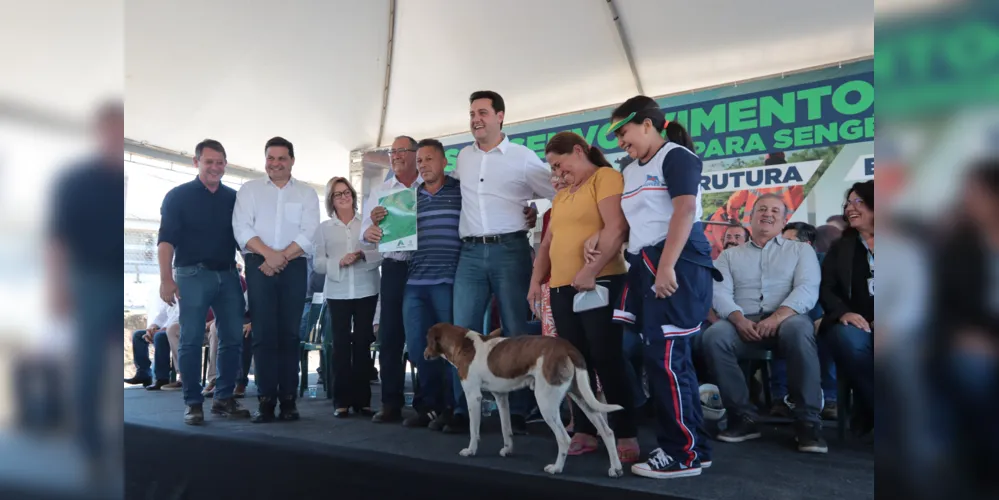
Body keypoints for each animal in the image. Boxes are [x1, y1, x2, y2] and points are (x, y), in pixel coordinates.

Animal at [424, 322, 624, 478]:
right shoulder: (501, 396)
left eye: (427, 340)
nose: (424, 355)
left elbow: (474, 430)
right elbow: (506, 428)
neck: (465, 344)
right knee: (607, 432)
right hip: (582, 397)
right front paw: (507, 450)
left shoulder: (473, 396)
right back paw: (616, 469)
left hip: (546, 402)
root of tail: (568, 348)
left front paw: (470, 451)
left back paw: (556, 468)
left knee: (564, 438)